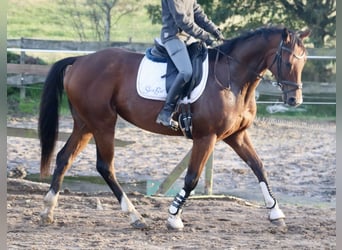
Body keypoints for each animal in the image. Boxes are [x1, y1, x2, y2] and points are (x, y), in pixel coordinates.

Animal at [38, 26, 308, 229]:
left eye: (303, 61)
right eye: (287, 61)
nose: (295, 100)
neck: (232, 79)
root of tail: (80, 60)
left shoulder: (237, 135)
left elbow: (259, 167)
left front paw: (276, 213)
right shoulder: (206, 137)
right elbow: (191, 178)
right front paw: (173, 217)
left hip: (85, 124)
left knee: (64, 157)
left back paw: (48, 210)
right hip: (103, 123)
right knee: (105, 166)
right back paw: (135, 216)